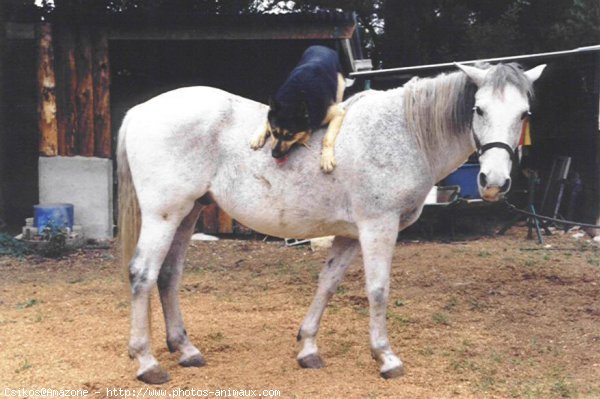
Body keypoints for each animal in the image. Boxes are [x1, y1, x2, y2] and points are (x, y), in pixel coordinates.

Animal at [117, 62, 544, 384]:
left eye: (524, 114)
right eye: (479, 109)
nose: (493, 181)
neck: (404, 133)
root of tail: (138, 111)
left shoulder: (350, 235)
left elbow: (328, 284)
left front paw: (307, 349)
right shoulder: (378, 227)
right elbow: (378, 290)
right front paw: (386, 357)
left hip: (187, 214)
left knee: (168, 276)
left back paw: (186, 350)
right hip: (164, 215)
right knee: (142, 274)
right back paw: (147, 362)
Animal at [250, 45, 344, 173]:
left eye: (290, 135)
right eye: (274, 132)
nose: (275, 155)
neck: (294, 98)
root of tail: (321, 46)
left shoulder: (337, 113)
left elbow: (327, 138)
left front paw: (326, 158)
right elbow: (266, 120)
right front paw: (258, 136)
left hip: (340, 84)